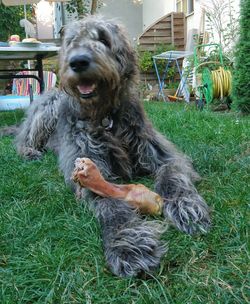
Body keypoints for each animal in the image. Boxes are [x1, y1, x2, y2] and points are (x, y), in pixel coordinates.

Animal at [15, 16, 210, 278]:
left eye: (103, 39)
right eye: (71, 41)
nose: (78, 61)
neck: (104, 115)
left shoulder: (162, 153)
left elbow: (172, 174)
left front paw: (185, 206)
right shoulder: (88, 170)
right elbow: (109, 204)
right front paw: (128, 243)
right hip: (49, 107)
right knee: (23, 140)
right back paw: (30, 152)